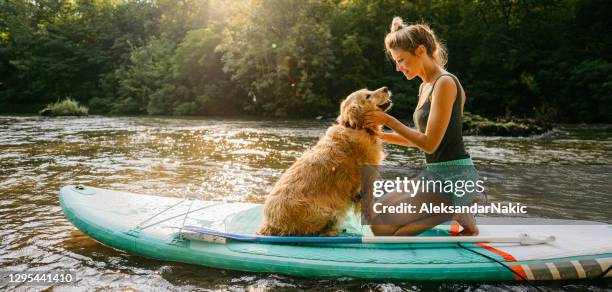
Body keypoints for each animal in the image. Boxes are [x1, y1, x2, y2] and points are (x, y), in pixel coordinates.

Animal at [256, 86, 392, 235]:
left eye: (369, 91)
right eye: (368, 96)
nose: (386, 88)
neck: (355, 127)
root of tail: (269, 225)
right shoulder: (366, 184)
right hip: (326, 211)